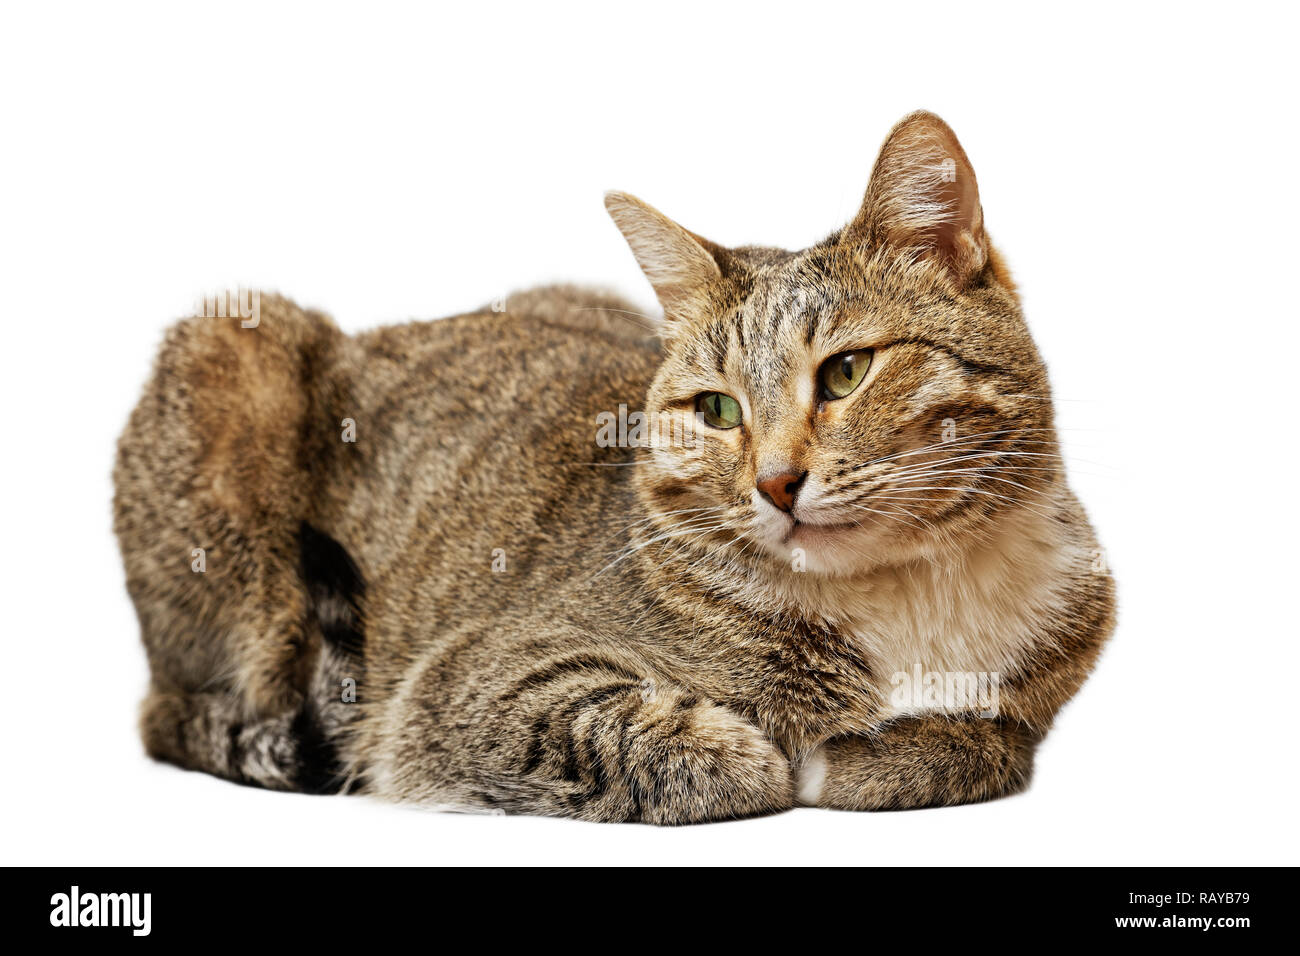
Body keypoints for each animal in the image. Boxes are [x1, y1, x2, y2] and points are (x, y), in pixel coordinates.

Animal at [111, 111, 1112, 827]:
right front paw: (772, 750)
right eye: (717, 411)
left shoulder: (1042, 682)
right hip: (230, 356)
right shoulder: (469, 679)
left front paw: (886, 753)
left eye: (846, 373)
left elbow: (989, 741)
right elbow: (696, 749)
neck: (906, 598)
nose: (775, 483)